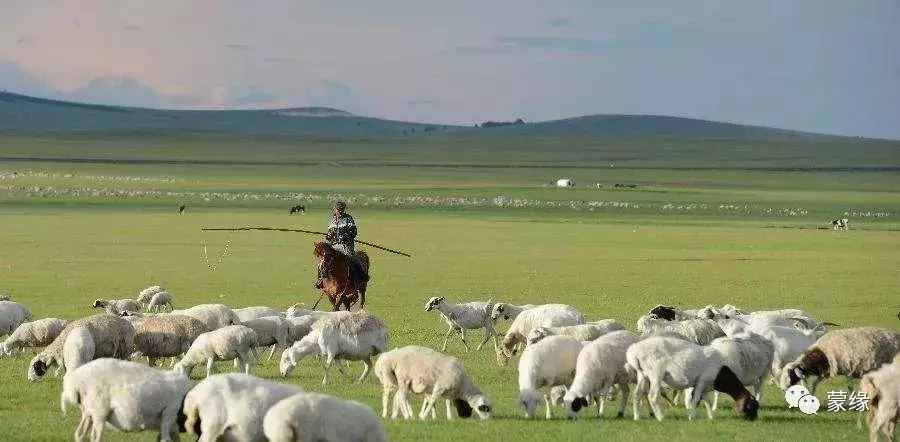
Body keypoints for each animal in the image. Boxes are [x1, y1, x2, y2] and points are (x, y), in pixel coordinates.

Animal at [59, 360, 192, 442]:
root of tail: (77, 380)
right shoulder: (169, 413)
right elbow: (165, 439)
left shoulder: (172, 427)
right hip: (99, 412)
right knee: (95, 437)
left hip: (88, 413)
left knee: (79, 434)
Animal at [624, 334, 760, 422]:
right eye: (752, 407)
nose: (754, 421)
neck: (721, 373)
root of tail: (634, 351)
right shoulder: (702, 381)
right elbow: (695, 400)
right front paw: (691, 418)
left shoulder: (705, 386)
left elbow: (706, 401)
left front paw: (711, 417)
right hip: (656, 374)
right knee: (652, 396)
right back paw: (660, 418)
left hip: (642, 374)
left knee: (637, 395)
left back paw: (636, 417)